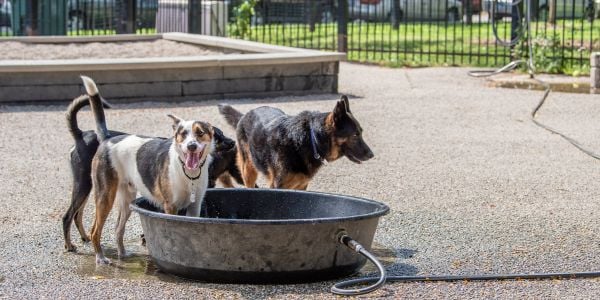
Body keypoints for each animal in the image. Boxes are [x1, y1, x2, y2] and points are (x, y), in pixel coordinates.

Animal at [218, 96, 372, 190]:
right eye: (355, 134)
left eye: (361, 132)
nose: (372, 155)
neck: (310, 140)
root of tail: (245, 114)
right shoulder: (277, 186)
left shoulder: (301, 187)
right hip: (248, 170)